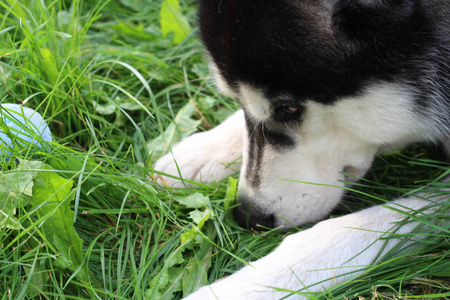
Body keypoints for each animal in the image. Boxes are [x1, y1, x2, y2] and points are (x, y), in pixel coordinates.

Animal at [156, 1, 450, 298]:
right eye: (234, 99)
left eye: (289, 108)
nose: (249, 217)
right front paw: (202, 152)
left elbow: (354, 229)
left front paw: (252, 284)